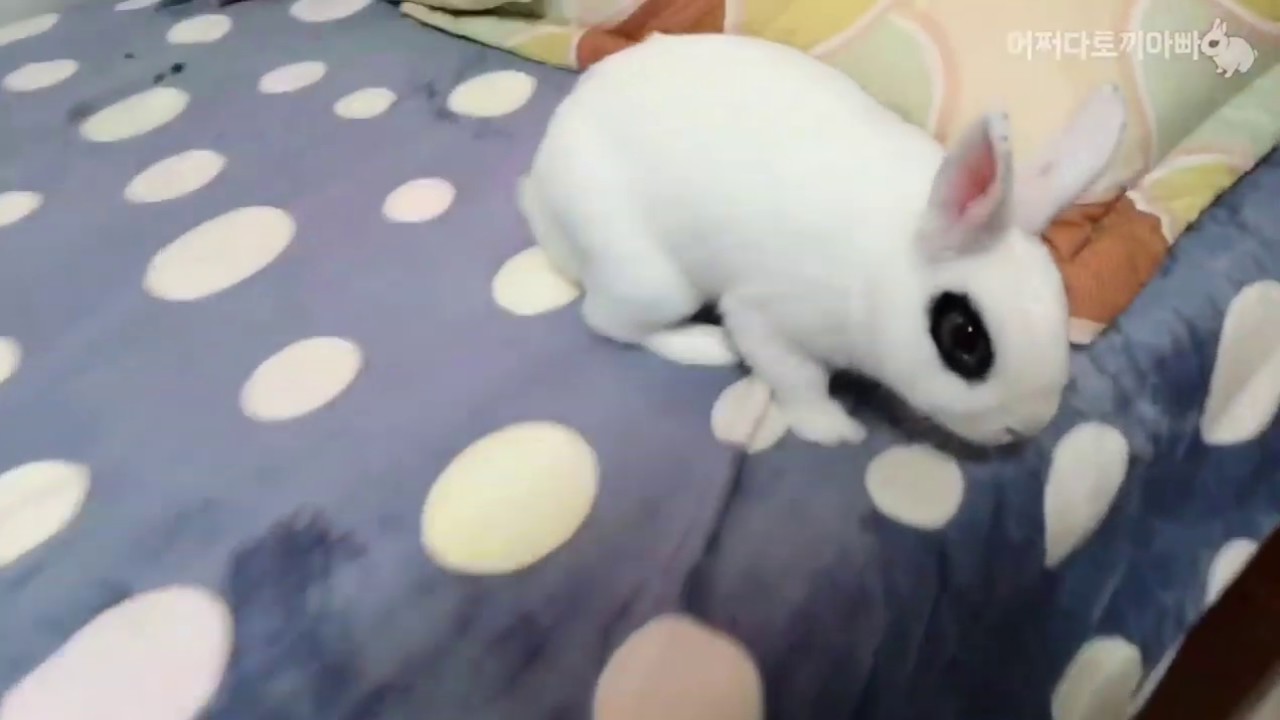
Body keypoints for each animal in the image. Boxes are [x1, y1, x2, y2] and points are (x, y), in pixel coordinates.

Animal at [517, 32, 1128, 447]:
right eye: (964, 337)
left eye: (1062, 304)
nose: (1024, 427)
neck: (889, 265)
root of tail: (540, 185)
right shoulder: (766, 317)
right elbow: (800, 379)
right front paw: (834, 430)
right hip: (650, 279)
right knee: (608, 321)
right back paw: (709, 345)